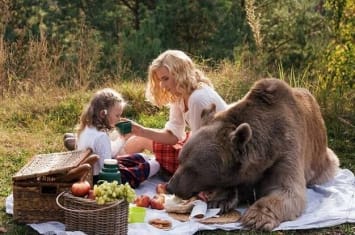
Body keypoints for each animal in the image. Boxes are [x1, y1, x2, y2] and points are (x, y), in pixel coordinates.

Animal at [167, 78, 340, 230]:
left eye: (193, 169)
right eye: (180, 160)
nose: (170, 186)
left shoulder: (286, 150)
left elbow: (288, 190)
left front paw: (255, 218)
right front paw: (220, 200)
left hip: (324, 160)